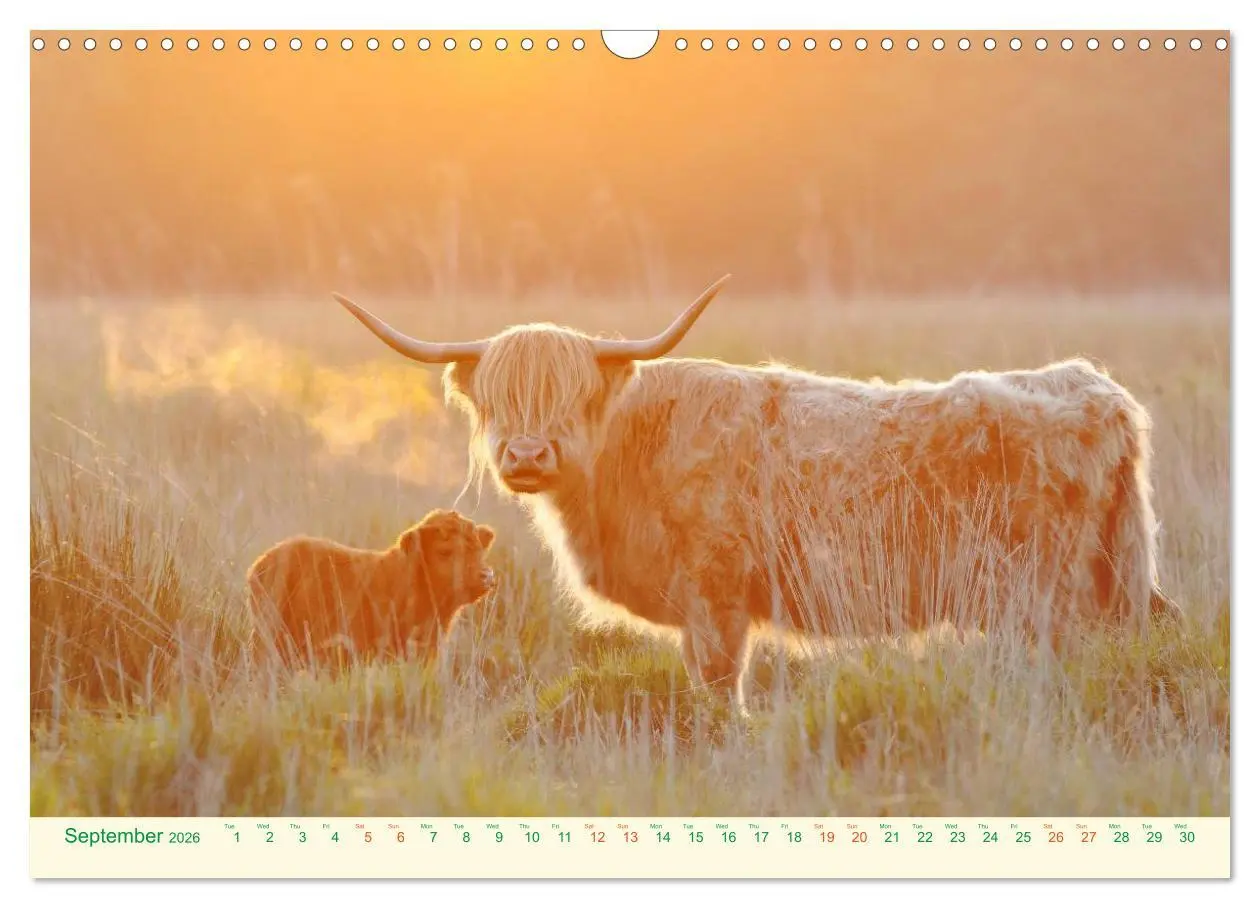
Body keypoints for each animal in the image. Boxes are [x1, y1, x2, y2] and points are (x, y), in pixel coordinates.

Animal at [332, 276, 1181, 709]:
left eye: (570, 393)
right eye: (499, 397)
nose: (528, 455)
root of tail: (1092, 388)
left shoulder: (716, 599)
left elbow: (717, 690)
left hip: (1049, 597)